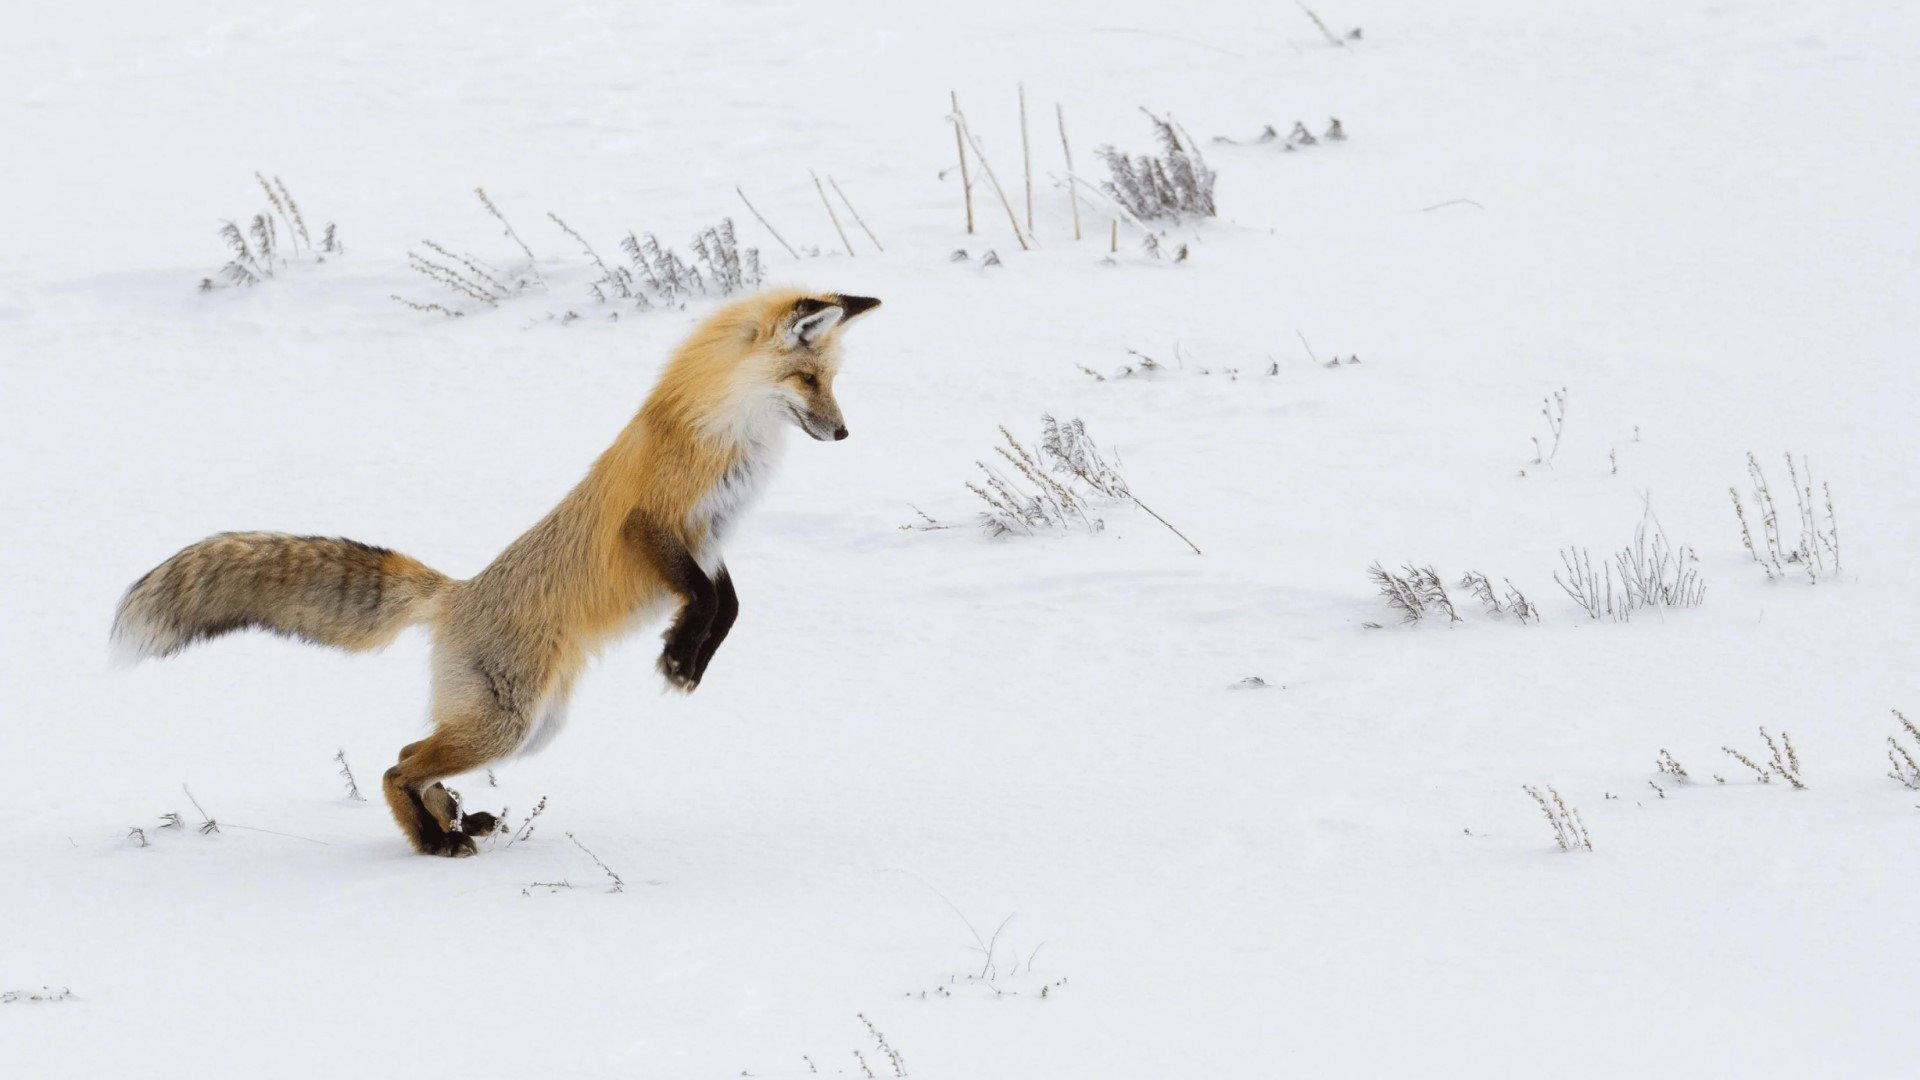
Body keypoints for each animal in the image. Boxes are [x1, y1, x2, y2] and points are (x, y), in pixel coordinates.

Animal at [111, 287, 880, 856]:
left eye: (832, 381)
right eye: (808, 379)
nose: (845, 432)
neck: (725, 435)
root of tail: (457, 594)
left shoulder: (712, 541)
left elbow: (728, 606)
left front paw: (686, 658)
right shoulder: (653, 527)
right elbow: (705, 600)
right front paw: (678, 658)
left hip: (533, 726)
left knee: (409, 750)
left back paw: (452, 819)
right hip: (509, 724)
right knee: (396, 764)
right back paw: (434, 839)